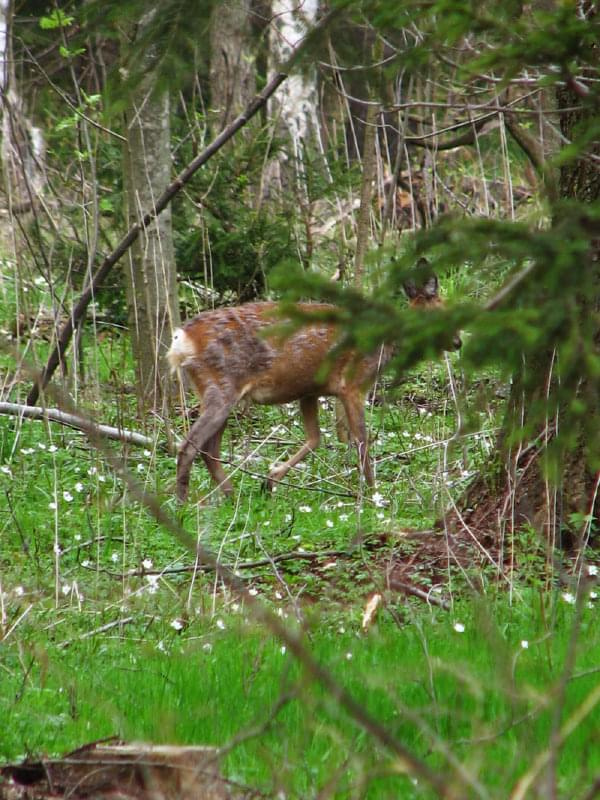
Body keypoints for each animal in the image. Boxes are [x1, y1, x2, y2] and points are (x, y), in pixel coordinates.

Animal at [166, 272, 458, 504]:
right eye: (442, 309)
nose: (458, 342)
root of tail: (183, 339)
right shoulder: (352, 385)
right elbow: (361, 439)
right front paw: (373, 494)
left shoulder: (309, 391)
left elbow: (314, 438)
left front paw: (270, 479)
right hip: (221, 387)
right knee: (190, 445)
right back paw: (183, 504)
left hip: (218, 391)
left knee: (209, 448)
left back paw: (230, 495)